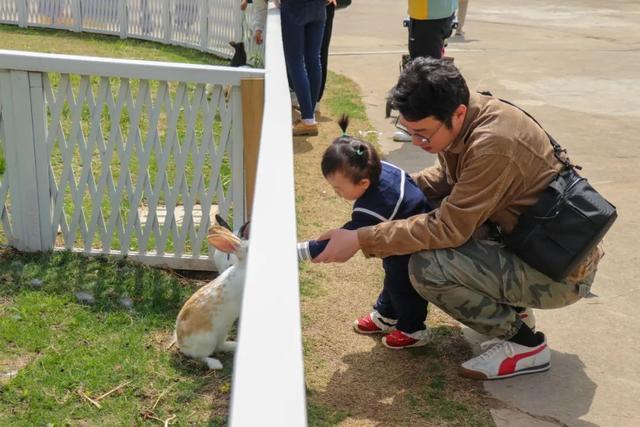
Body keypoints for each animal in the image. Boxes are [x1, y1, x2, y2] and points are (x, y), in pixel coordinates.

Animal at [175, 219, 250, 370]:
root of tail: (182, 344)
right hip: (207, 342)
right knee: (199, 356)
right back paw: (215, 364)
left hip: (222, 334)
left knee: (220, 347)